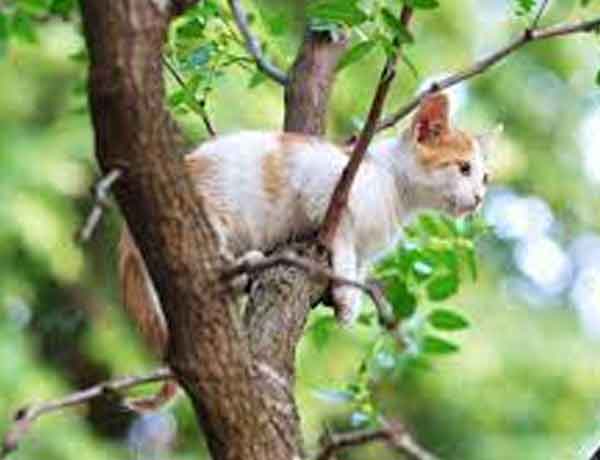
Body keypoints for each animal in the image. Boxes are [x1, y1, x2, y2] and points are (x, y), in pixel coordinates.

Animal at [118, 92, 496, 410]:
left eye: (485, 177)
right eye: (464, 168)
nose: (479, 198)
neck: (395, 188)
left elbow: (359, 266)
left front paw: (348, 296)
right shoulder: (325, 186)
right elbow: (342, 241)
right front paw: (345, 294)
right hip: (208, 211)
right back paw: (241, 266)